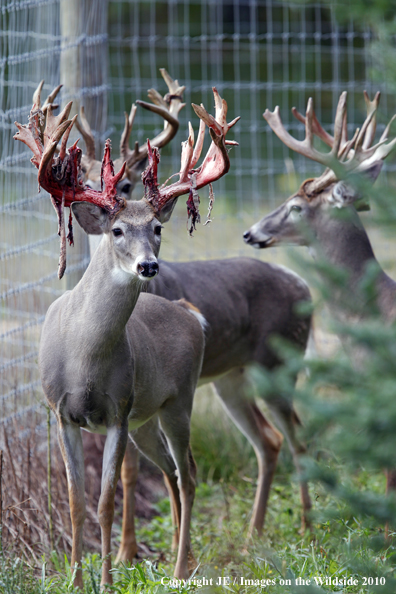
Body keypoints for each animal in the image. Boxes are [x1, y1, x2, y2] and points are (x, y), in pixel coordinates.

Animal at [13, 85, 234, 584]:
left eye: (157, 229)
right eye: (116, 229)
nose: (148, 265)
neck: (84, 358)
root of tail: (189, 313)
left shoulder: (117, 410)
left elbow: (106, 501)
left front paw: (108, 581)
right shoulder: (60, 411)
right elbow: (75, 502)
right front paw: (76, 579)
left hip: (178, 401)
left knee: (189, 473)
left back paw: (179, 569)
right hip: (147, 419)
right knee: (171, 472)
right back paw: (185, 558)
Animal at [69, 74, 316, 560]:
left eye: (129, 185)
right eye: (85, 178)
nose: (108, 203)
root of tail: (304, 287)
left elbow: (137, 470)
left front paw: (134, 551)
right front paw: (135, 549)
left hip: (279, 364)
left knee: (297, 437)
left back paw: (303, 527)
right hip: (231, 379)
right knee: (270, 441)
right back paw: (254, 532)